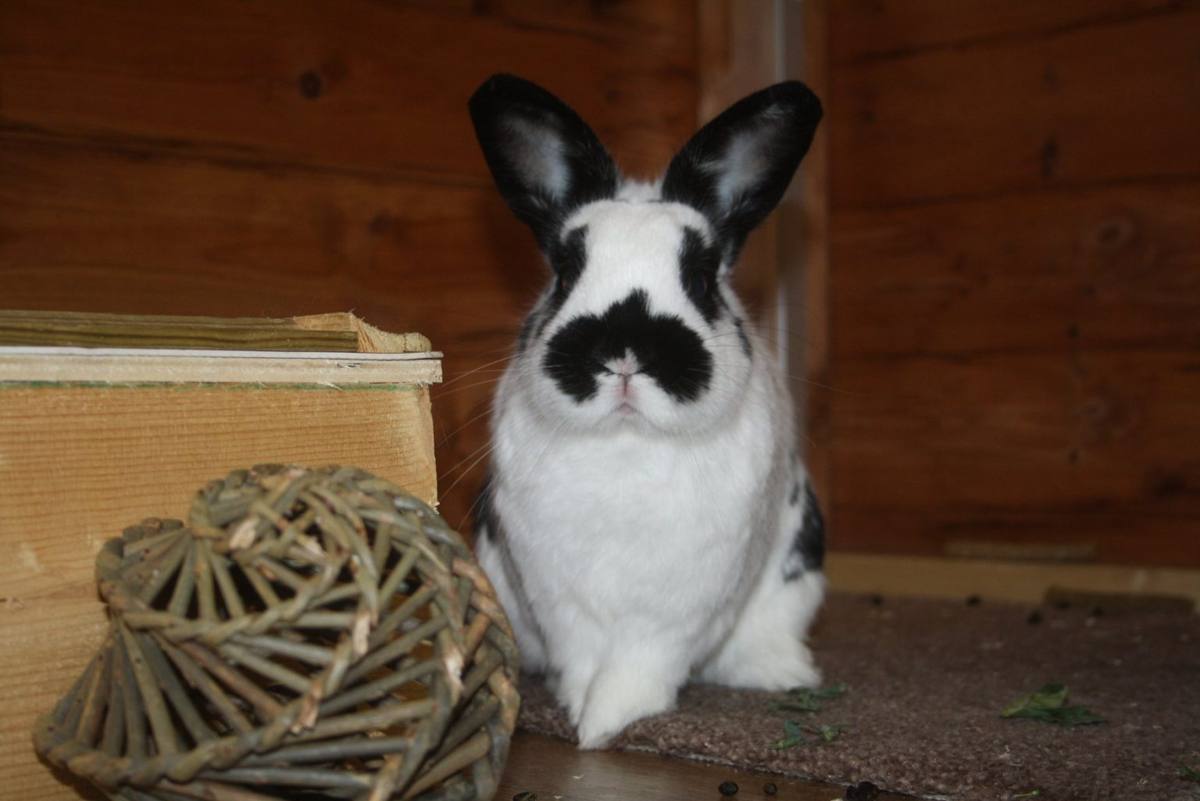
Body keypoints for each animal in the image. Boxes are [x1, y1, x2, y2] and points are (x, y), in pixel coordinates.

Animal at [468, 73, 826, 749]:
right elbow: (584, 657)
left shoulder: (684, 603)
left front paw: (608, 723)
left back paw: (782, 674)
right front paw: (582, 715)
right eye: (564, 272)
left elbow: (641, 662)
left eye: (704, 277)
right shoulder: (558, 596)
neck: (628, 444)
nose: (625, 350)